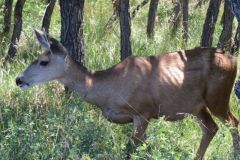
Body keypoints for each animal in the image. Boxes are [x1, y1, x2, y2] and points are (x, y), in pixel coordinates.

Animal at [16, 29, 240, 159]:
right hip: (197, 106)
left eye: (43, 62)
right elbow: (145, 149)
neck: (107, 90)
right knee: (211, 128)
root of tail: (233, 59)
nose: (19, 79)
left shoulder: (142, 112)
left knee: (233, 123)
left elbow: (131, 151)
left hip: (218, 97)